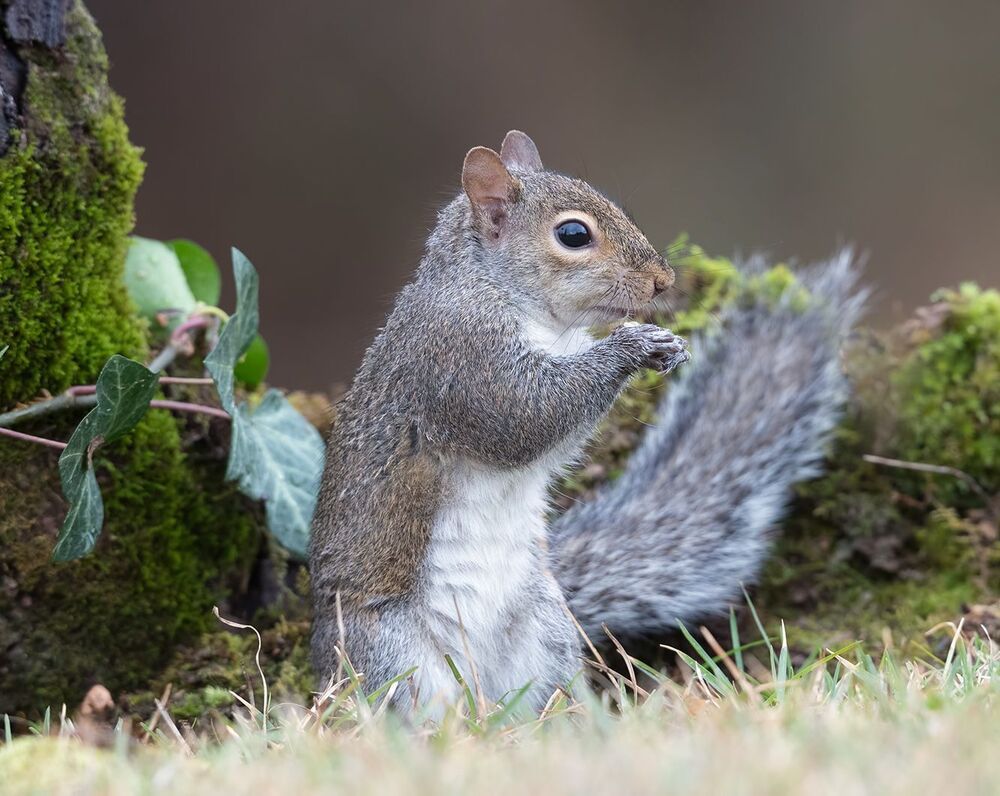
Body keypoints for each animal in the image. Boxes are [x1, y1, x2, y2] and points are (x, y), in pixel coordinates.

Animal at [309, 130, 863, 715]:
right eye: (573, 234)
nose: (662, 281)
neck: (505, 294)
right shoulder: (461, 358)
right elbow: (525, 416)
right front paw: (632, 345)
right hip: (390, 659)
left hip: (547, 633)